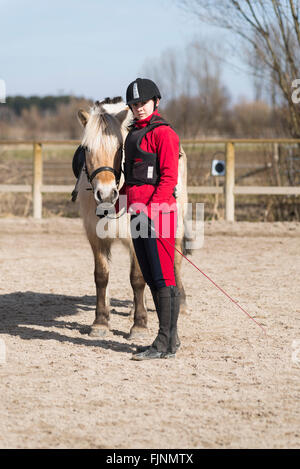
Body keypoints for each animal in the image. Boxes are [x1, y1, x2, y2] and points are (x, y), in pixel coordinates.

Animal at [75, 97, 188, 336]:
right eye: (87, 148)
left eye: (120, 148)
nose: (106, 193)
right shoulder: (95, 237)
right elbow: (101, 276)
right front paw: (101, 321)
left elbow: (137, 278)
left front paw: (140, 324)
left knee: (175, 260)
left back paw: (180, 303)